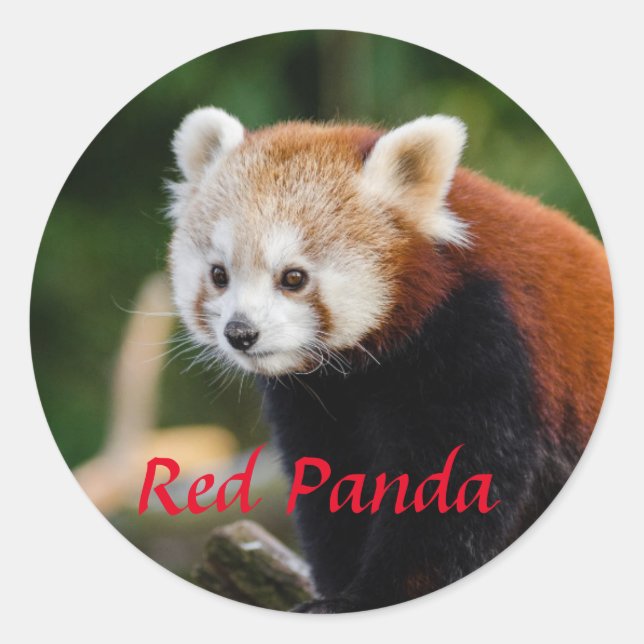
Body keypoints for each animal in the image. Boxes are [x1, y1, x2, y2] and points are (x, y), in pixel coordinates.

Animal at [167, 107, 613, 613]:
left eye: (293, 277)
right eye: (219, 275)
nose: (240, 333)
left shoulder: (485, 340)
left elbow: (451, 491)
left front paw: (376, 596)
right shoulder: (319, 399)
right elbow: (332, 483)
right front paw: (336, 590)